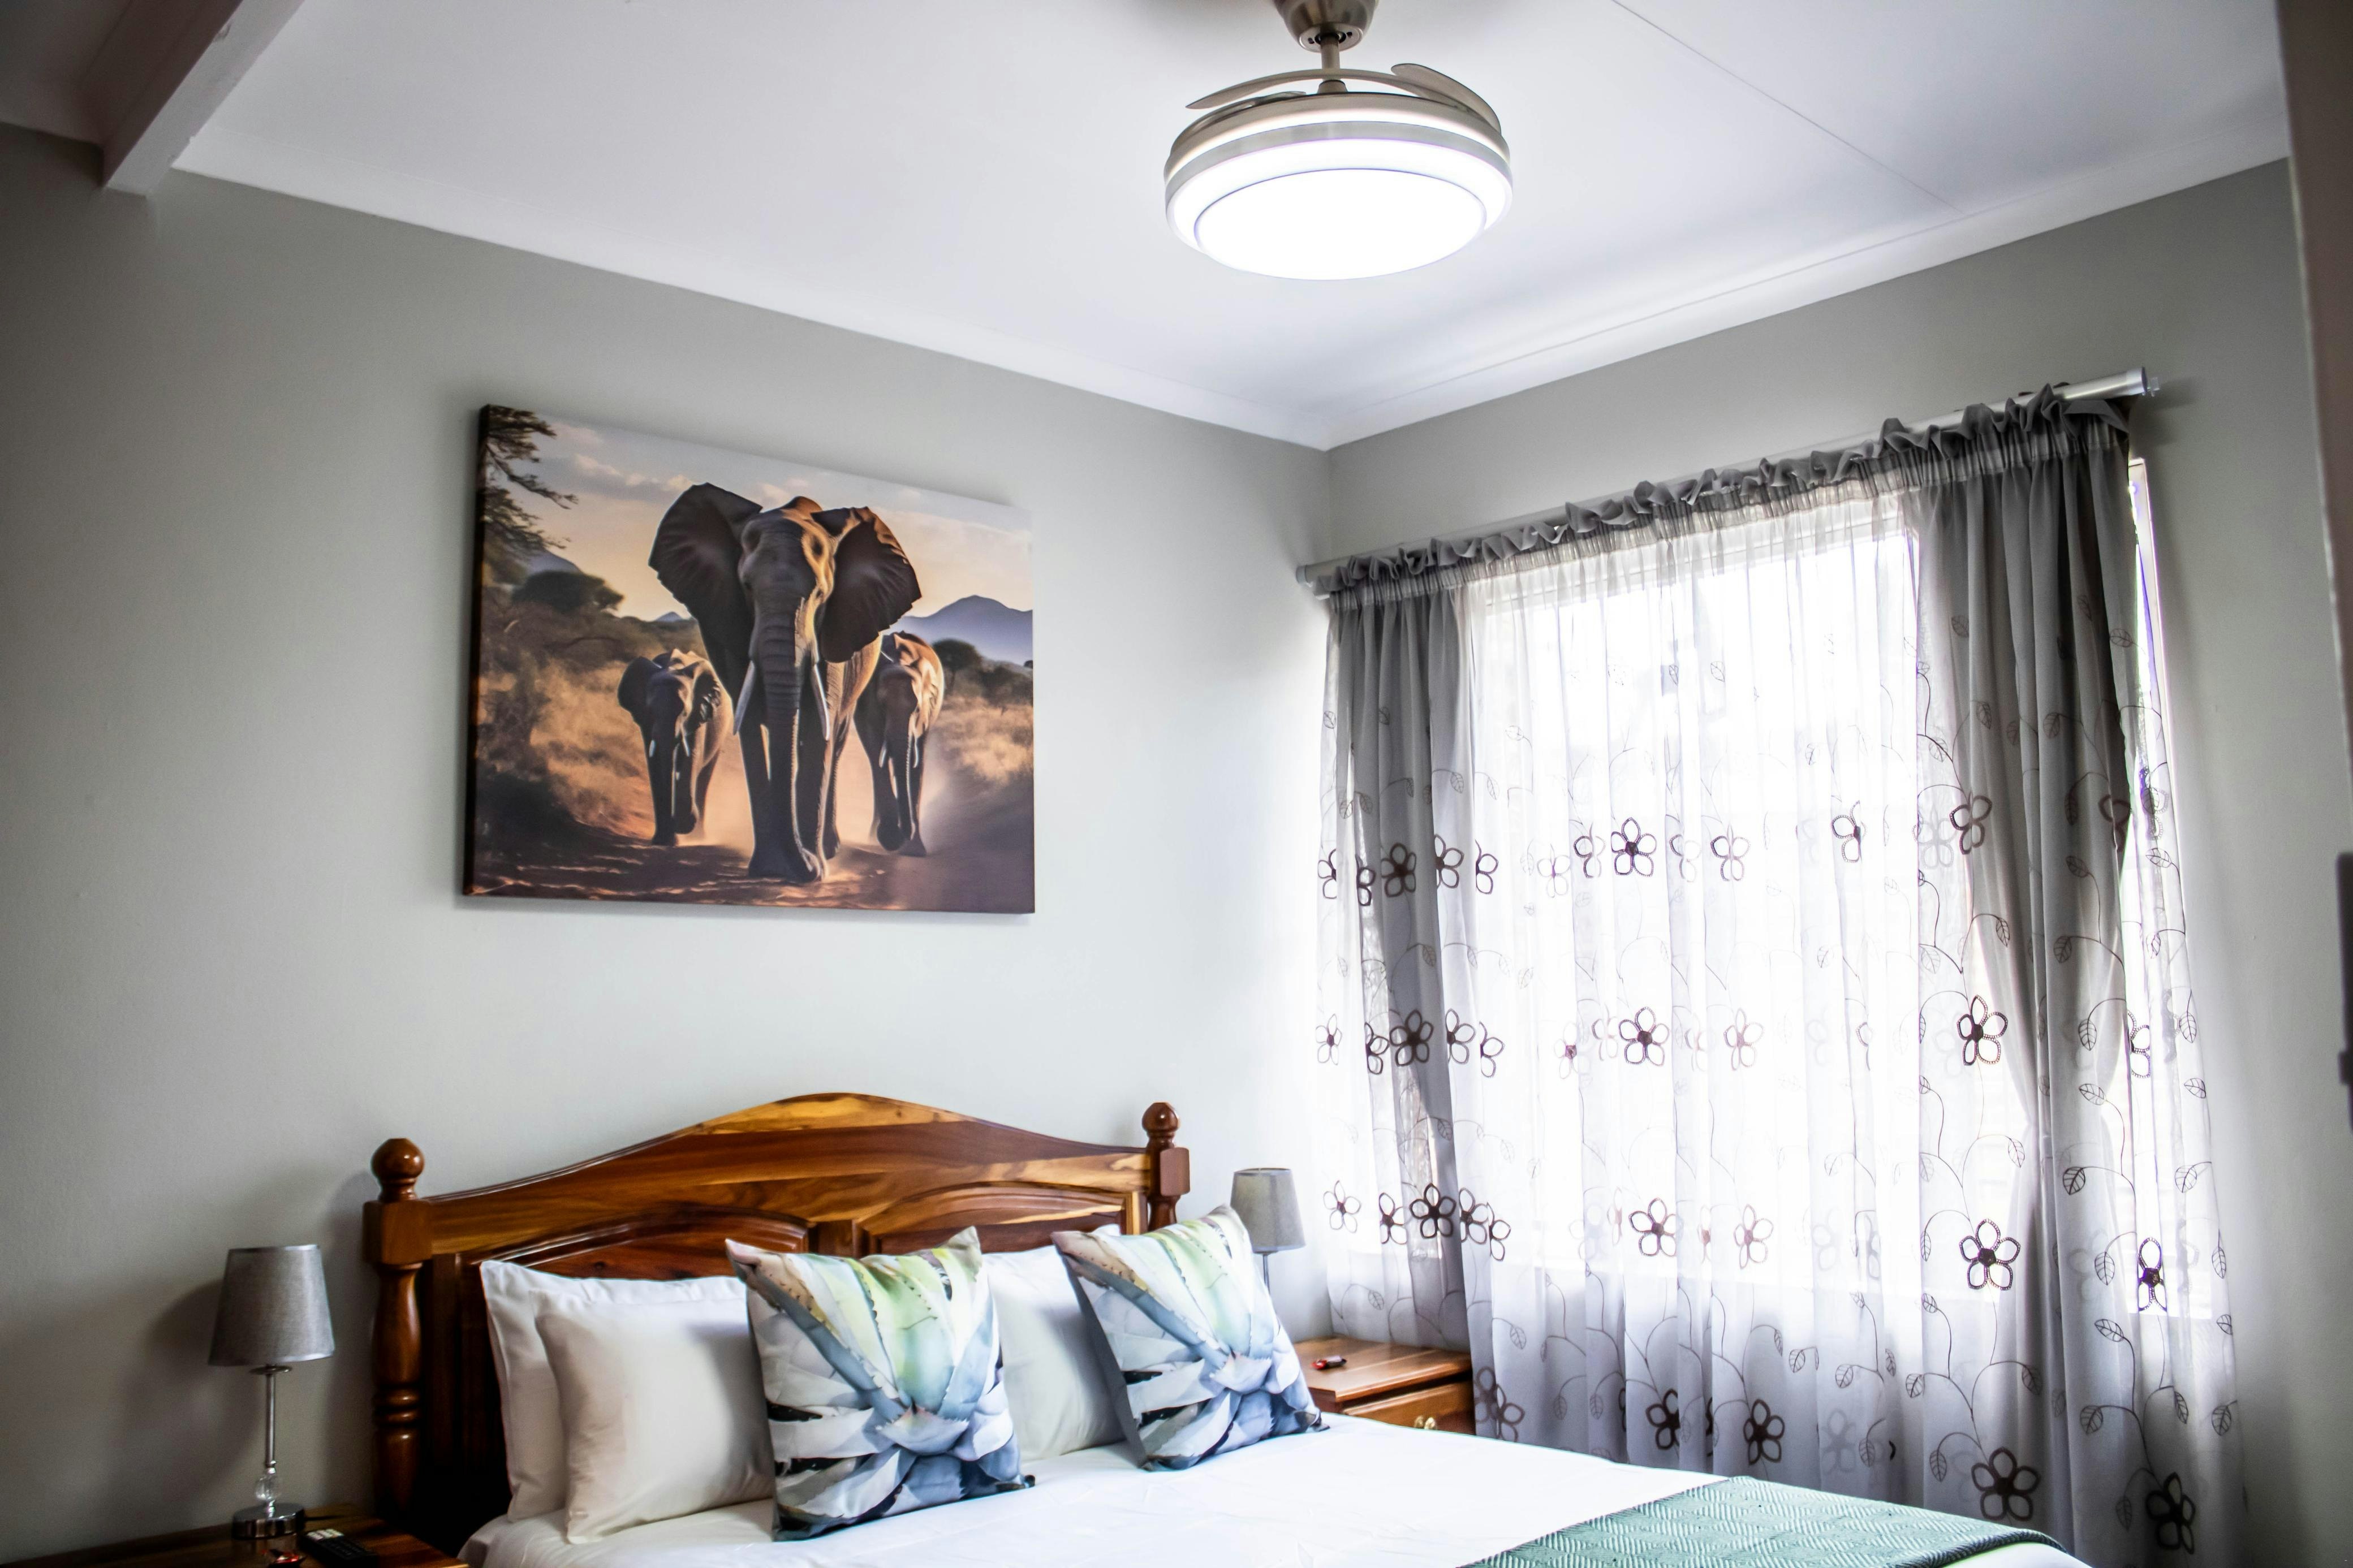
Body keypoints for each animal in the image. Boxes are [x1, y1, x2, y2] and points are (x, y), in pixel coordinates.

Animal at [616, 649, 724, 847]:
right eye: (650, 710)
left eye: (684, 713)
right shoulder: (645, 721)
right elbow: (655, 762)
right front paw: (663, 841)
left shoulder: (699, 712)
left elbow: (691, 759)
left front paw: (683, 825)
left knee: (704, 777)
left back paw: (698, 838)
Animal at [649, 484, 920, 883]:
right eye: (746, 587)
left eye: (822, 595)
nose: (801, 865)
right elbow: (751, 728)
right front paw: (772, 869)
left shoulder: (834, 634)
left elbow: (818, 728)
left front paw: (812, 870)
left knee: (832, 740)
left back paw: (827, 850)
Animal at [855, 631, 944, 856]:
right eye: (883, 706)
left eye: (917, 710)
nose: (907, 832)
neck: (900, 661)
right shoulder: (868, 704)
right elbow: (875, 748)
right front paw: (891, 839)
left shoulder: (926, 715)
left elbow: (916, 762)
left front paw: (915, 850)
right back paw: (875, 838)